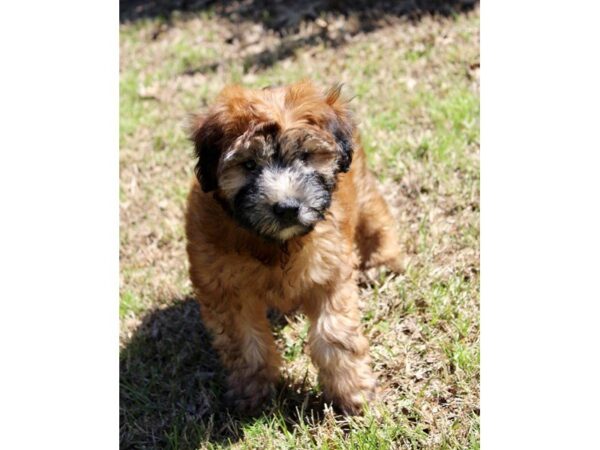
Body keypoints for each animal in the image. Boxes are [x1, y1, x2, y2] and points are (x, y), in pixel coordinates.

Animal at [185, 81, 406, 414]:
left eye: (305, 156)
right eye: (249, 165)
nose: (287, 208)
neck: (276, 244)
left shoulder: (329, 273)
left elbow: (334, 335)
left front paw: (354, 393)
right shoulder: (224, 287)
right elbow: (245, 343)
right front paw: (253, 394)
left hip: (361, 183)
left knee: (375, 214)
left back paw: (383, 259)